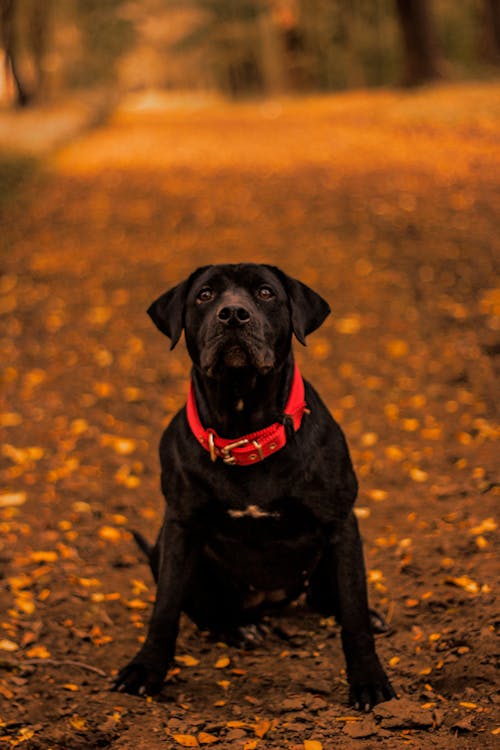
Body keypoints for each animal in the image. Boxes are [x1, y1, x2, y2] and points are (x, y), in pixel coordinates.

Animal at [113, 262, 394, 712]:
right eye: (205, 295)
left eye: (265, 292)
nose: (233, 314)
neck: (244, 431)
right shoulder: (180, 526)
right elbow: (165, 608)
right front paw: (146, 669)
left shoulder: (340, 524)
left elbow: (353, 612)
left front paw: (369, 680)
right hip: (167, 552)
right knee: (211, 613)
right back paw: (239, 627)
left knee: (328, 598)